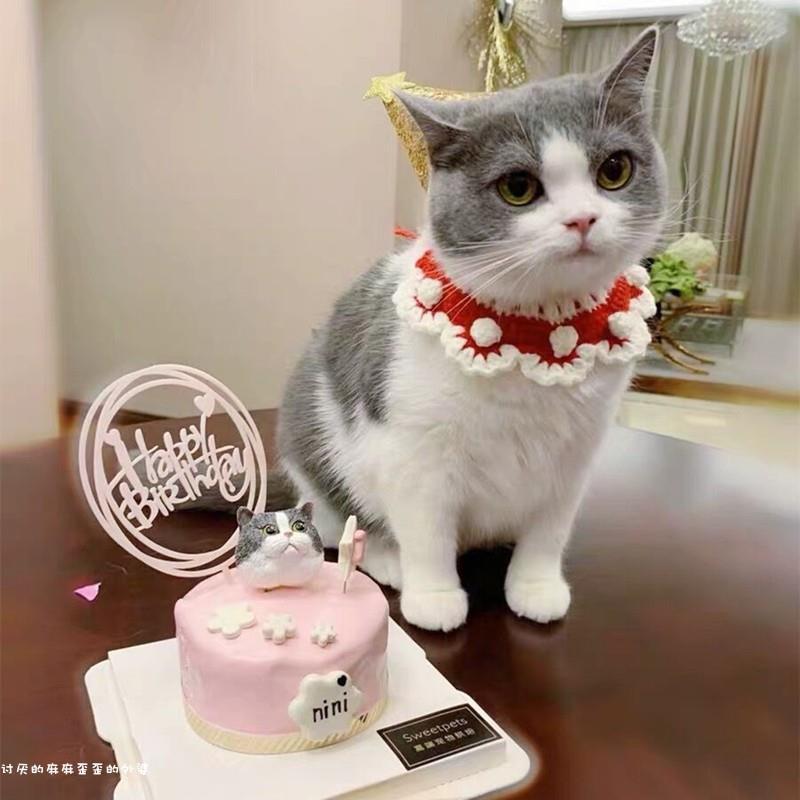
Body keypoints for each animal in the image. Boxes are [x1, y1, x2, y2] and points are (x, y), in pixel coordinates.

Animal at [277, 28, 667, 631]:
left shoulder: (576, 453)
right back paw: (385, 557)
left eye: (614, 170)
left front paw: (535, 585)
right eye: (518, 187)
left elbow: (549, 529)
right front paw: (435, 596)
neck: (534, 337)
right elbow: (427, 529)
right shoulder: (412, 447)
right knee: (337, 523)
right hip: (312, 442)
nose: (582, 218)